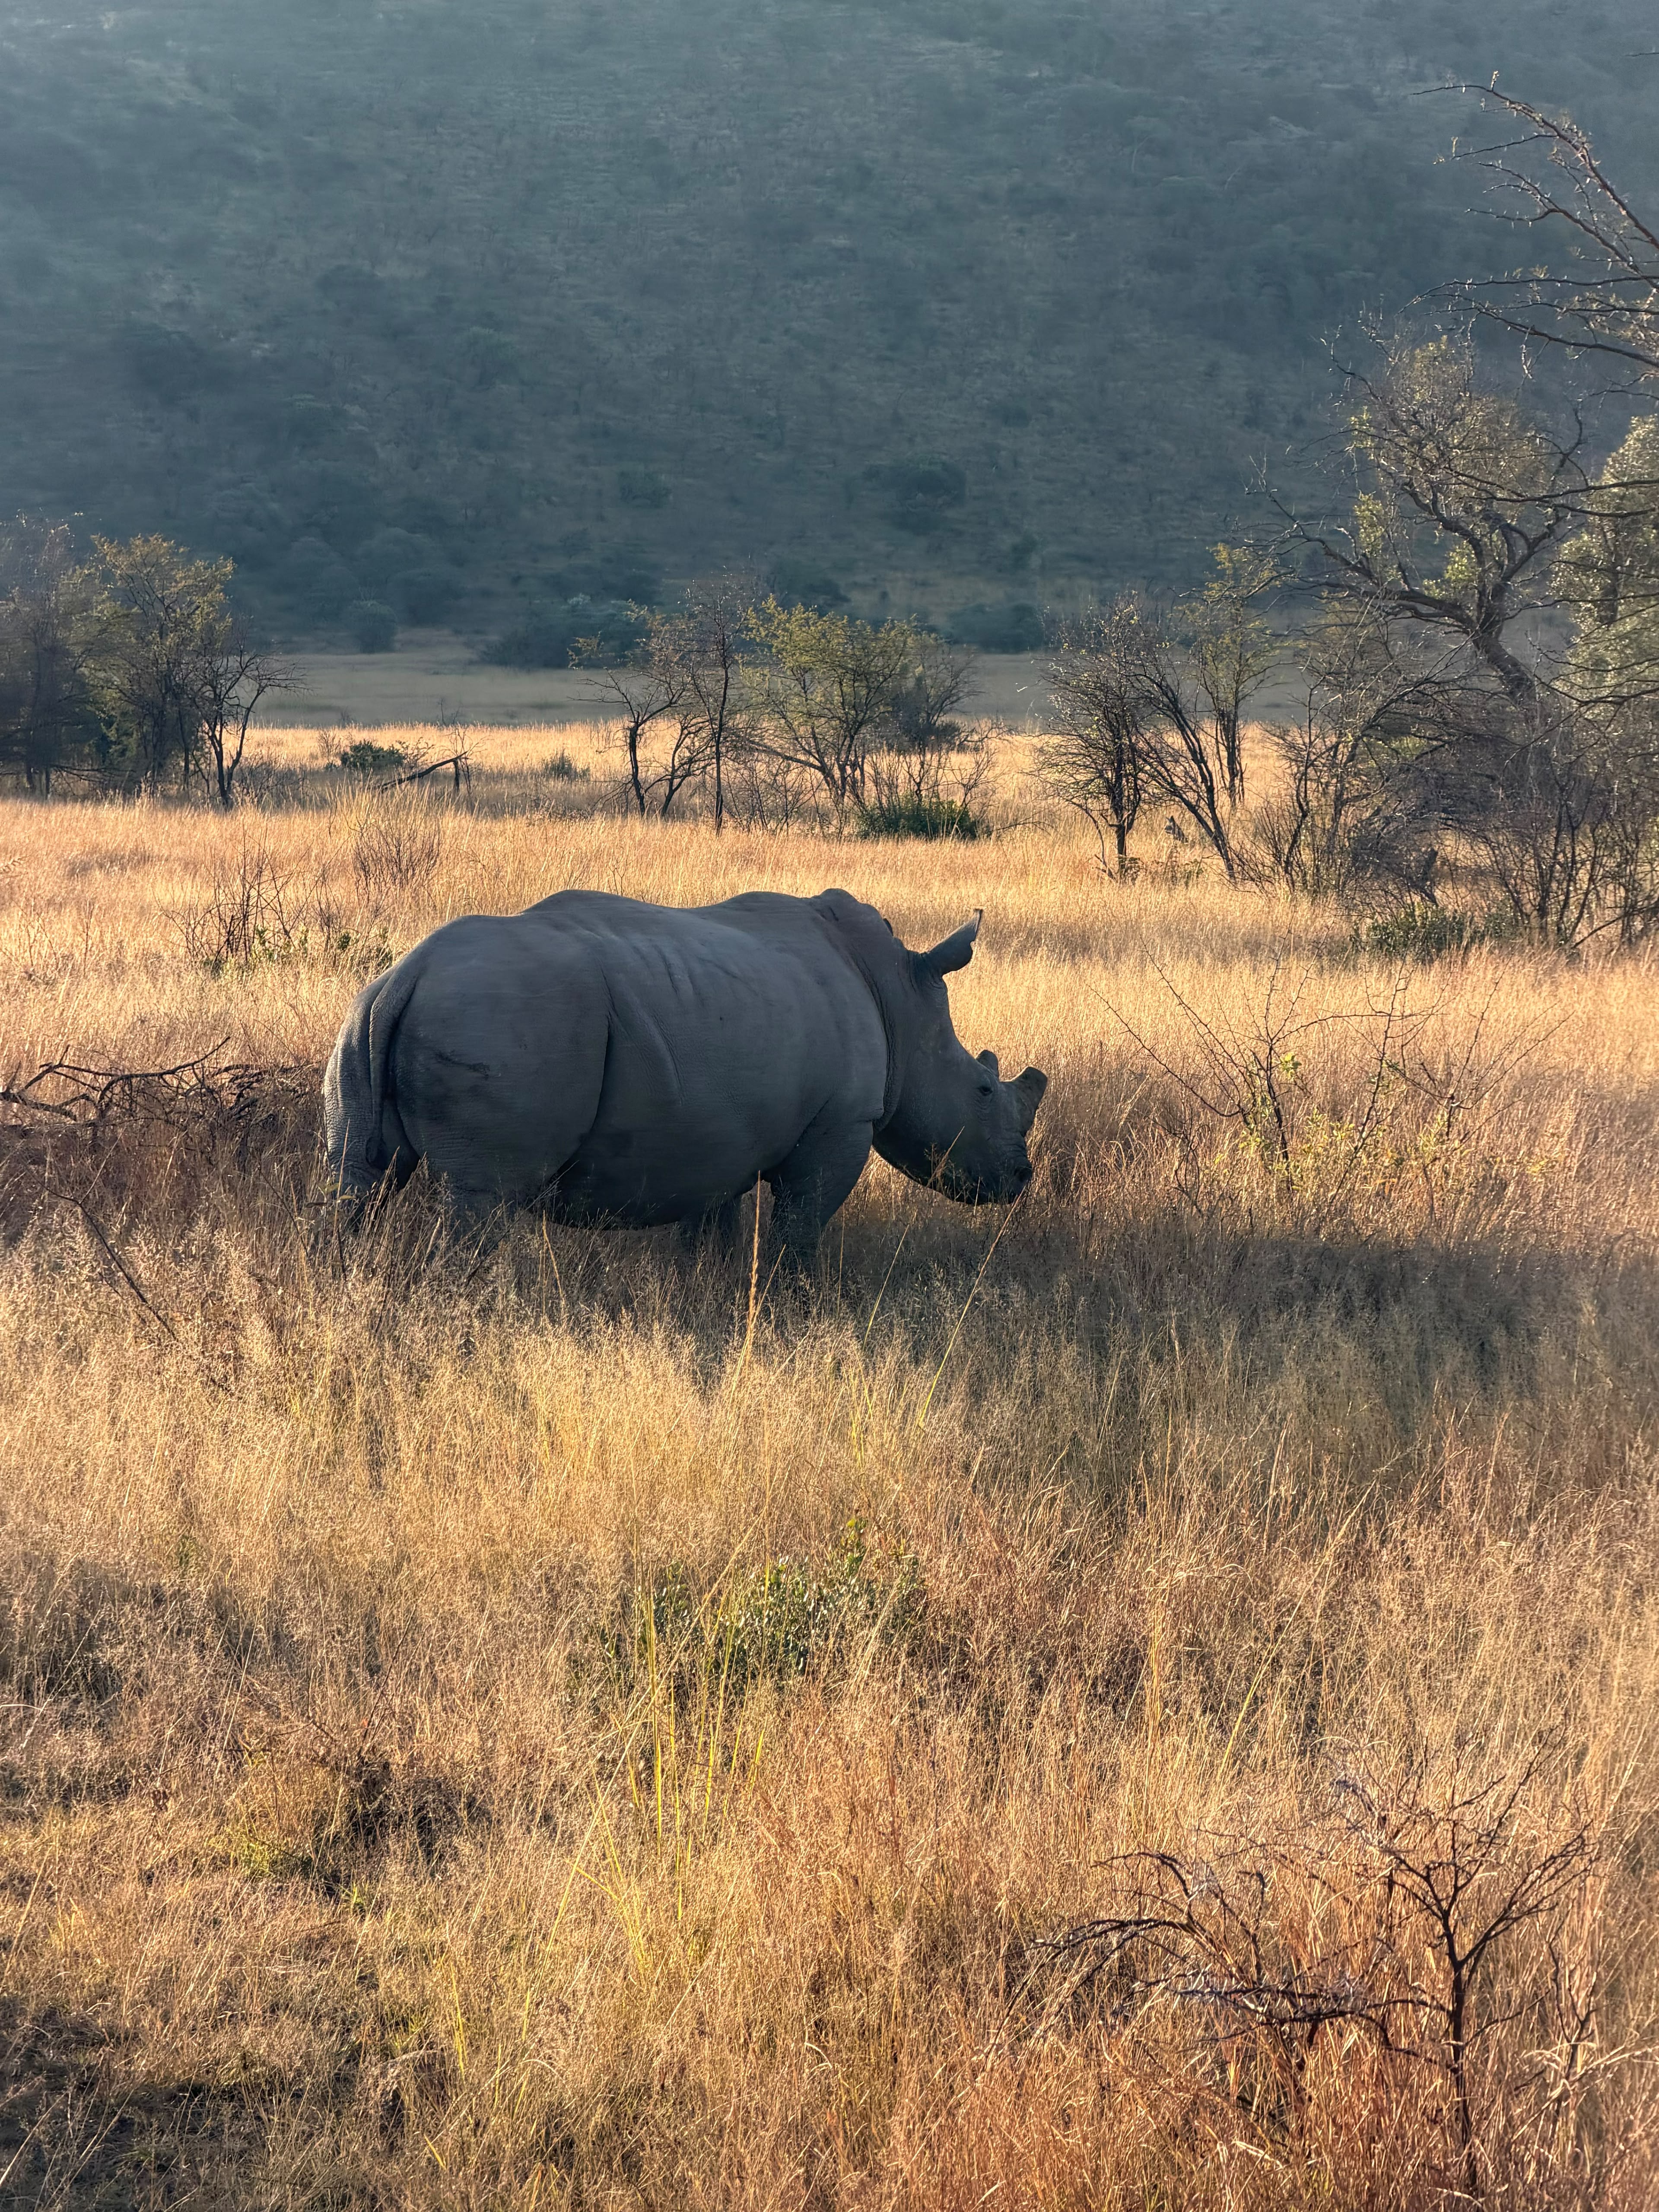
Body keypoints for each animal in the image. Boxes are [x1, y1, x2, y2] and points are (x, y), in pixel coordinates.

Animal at [322, 887, 1047, 1259]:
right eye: (984, 1090)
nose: (1021, 1179)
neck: (899, 998)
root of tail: (409, 975)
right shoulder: (843, 1122)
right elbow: (800, 1229)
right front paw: (790, 1305)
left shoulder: (722, 1135)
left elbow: (711, 1231)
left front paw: (705, 1298)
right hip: (501, 1019)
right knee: (480, 1199)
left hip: (363, 1024)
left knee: (357, 1179)